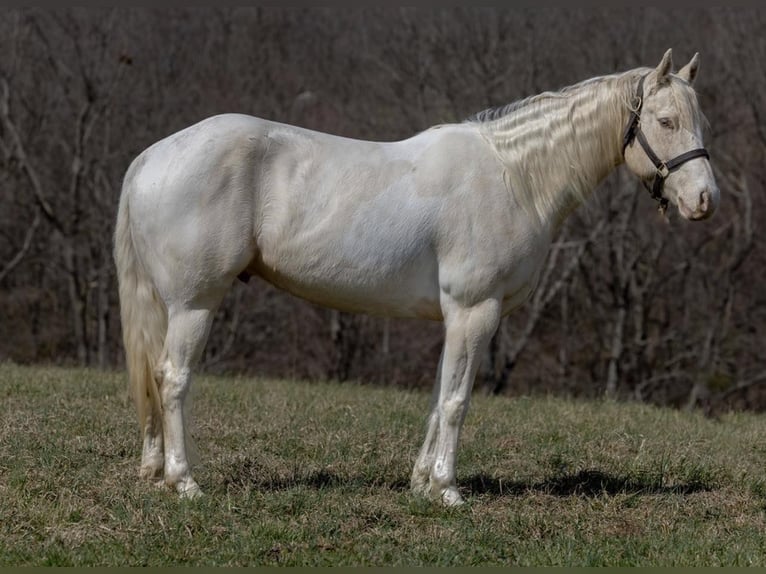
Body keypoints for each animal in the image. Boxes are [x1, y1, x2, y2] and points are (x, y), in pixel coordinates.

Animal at [114, 50, 720, 508]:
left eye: (700, 122)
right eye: (666, 121)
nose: (703, 200)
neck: (514, 175)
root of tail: (151, 157)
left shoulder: (455, 319)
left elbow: (437, 396)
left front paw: (421, 484)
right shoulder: (475, 311)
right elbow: (457, 401)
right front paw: (448, 490)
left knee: (154, 378)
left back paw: (155, 470)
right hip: (194, 304)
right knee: (172, 378)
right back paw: (184, 480)